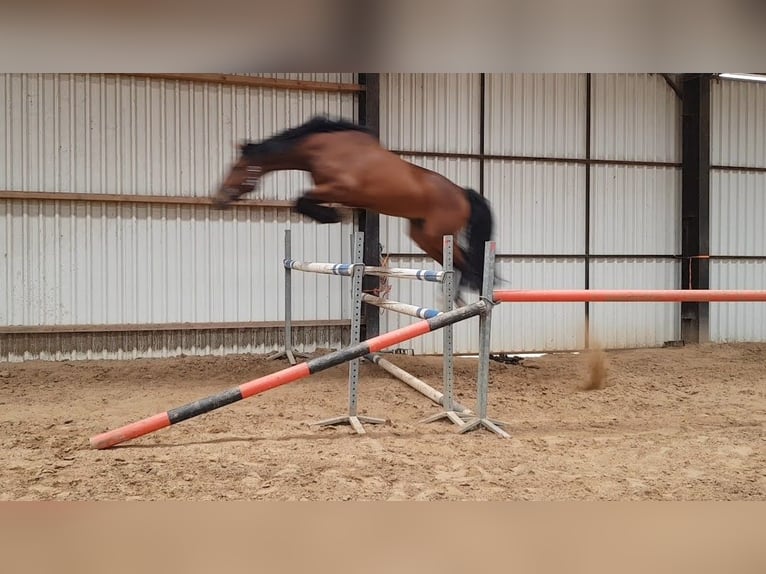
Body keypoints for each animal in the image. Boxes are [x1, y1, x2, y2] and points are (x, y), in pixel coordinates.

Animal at [213, 115, 496, 300]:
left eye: (238, 167)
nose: (219, 199)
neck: (323, 149)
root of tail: (463, 193)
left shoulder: (339, 189)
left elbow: (301, 199)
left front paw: (330, 216)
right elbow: (303, 201)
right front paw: (330, 215)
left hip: (435, 234)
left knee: (466, 263)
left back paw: (460, 296)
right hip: (422, 235)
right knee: (460, 262)